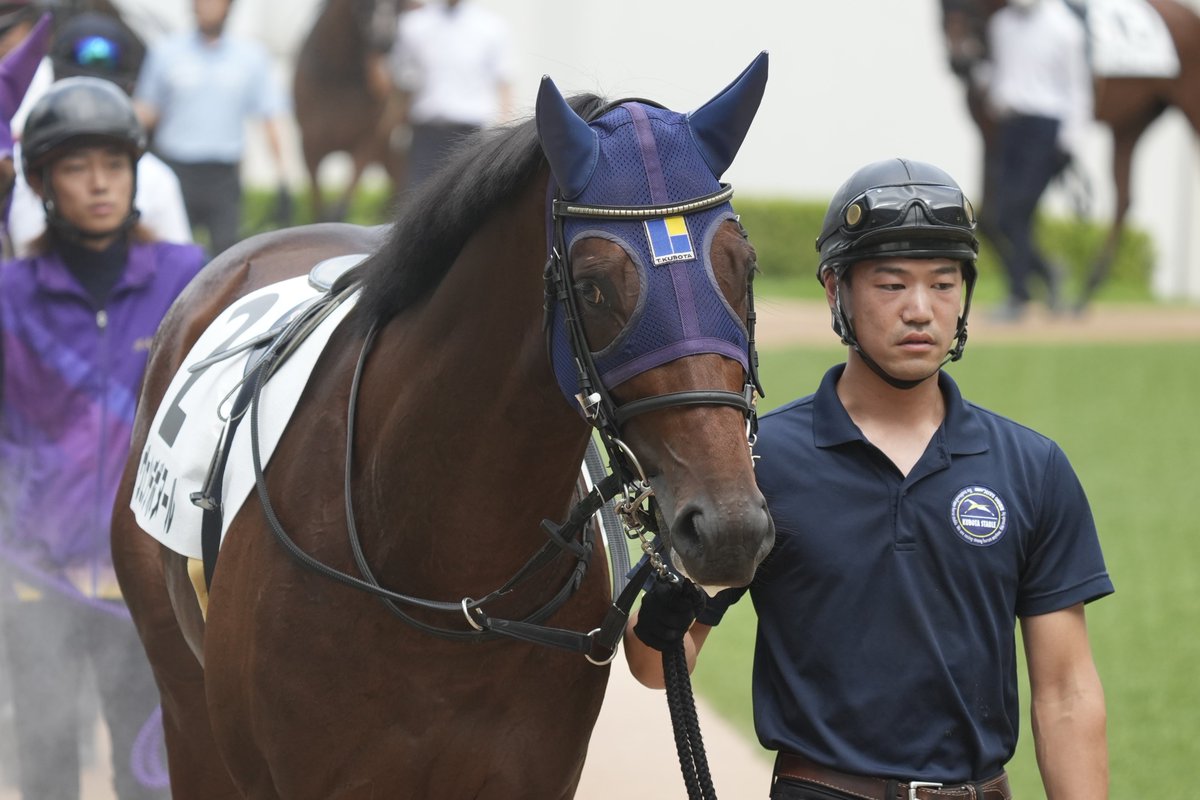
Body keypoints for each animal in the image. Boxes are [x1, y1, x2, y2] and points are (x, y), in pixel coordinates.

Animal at [293, 0, 406, 223]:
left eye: (399, 4)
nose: (385, 41)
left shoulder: (368, 138)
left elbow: (342, 204)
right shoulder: (310, 143)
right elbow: (318, 205)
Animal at [940, 0, 1200, 309]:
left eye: (970, 4)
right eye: (941, 7)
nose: (959, 61)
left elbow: (1013, 208)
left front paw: (1044, 280)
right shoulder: (990, 132)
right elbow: (992, 216)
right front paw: (1040, 281)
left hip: (1189, 104)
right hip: (1132, 123)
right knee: (1123, 199)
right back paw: (1088, 288)